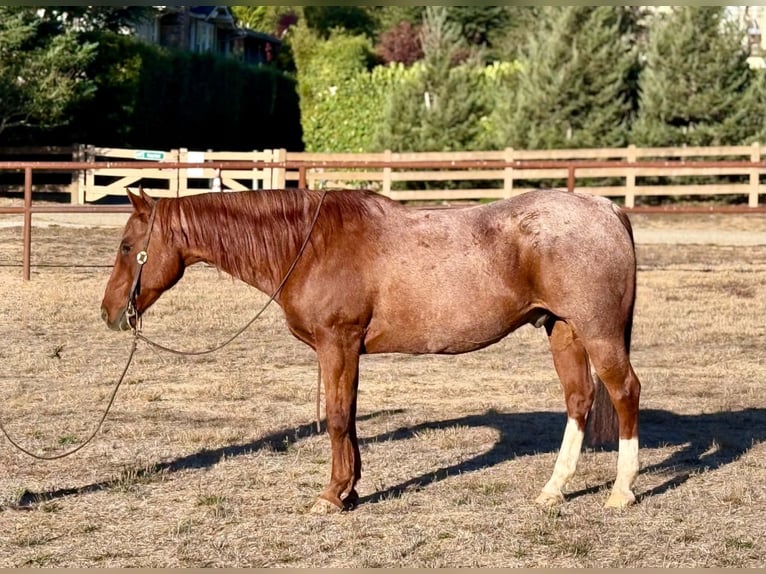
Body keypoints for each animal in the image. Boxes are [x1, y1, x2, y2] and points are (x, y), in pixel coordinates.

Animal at [101, 187, 641, 513]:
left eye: (127, 247)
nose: (109, 312)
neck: (311, 245)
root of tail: (606, 208)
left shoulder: (336, 345)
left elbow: (339, 419)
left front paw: (331, 496)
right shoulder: (348, 353)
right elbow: (352, 417)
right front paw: (351, 489)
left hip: (598, 333)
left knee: (624, 393)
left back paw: (621, 491)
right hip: (564, 331)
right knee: (579, 400)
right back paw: (553, 490)